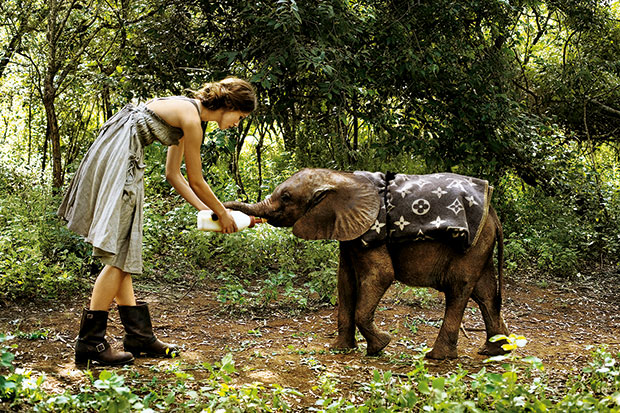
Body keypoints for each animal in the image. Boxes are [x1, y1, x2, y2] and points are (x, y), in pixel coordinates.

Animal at [225, 167, 512, 358]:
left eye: (285, 197)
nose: (224, 213)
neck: (338, 177)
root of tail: (494, 214)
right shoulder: (348, 229)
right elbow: (345, 282)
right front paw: (339, 349)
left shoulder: (370, 230)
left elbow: (381, 274)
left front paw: (381, 345)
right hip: (481, 244)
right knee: (485, 292)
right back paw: (494, 350)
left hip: (472, 245)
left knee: (458, 289)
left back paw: (437, 356)